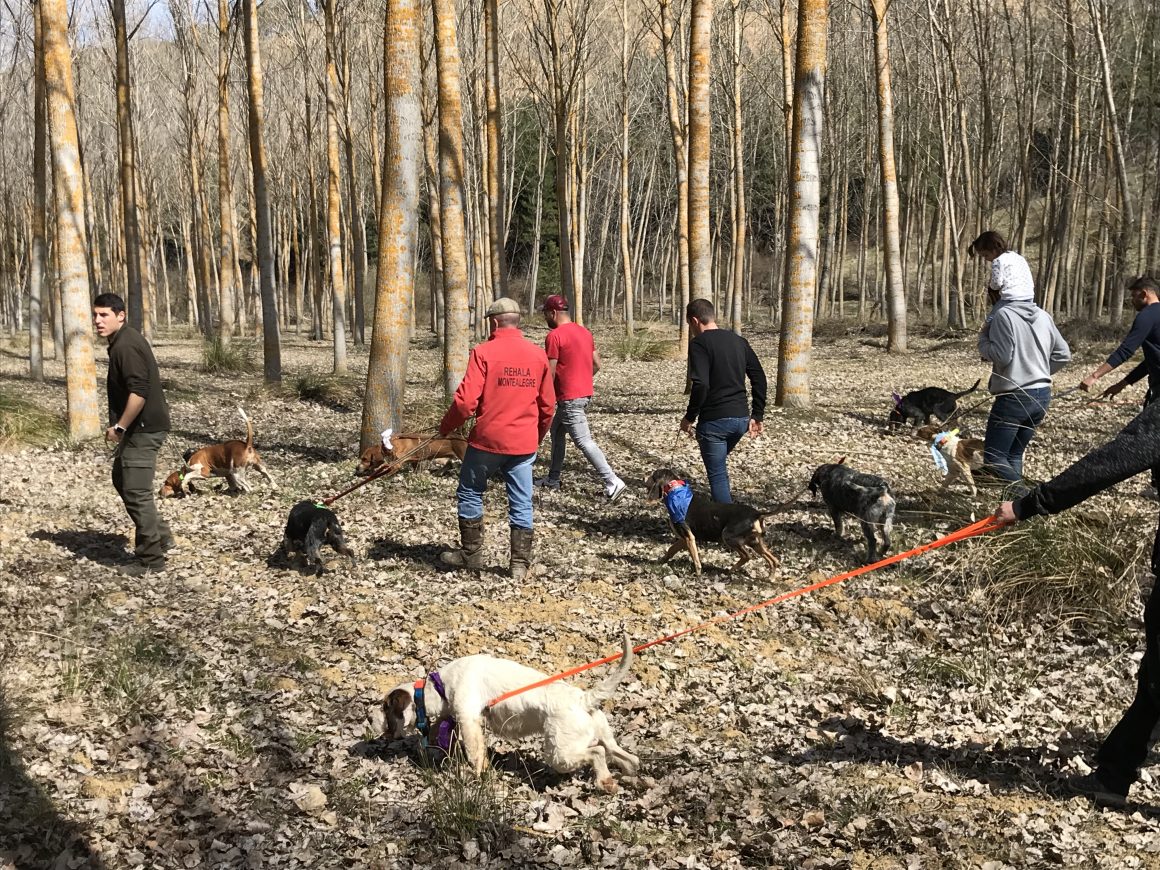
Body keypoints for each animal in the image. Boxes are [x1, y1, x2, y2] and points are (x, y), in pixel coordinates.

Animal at [644, 470, 779, 580]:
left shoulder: (689, 537)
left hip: (729, 536)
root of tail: (757, 514)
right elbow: (671, 550)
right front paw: (661, 561)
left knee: (747, 556)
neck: (677, 493)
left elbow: (695, 559)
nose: (645, 478)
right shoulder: (684, 538)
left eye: (652, 476)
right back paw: (770, 577)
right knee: (773, 560)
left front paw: (698, 575)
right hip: (755, 542)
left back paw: (731, 570)